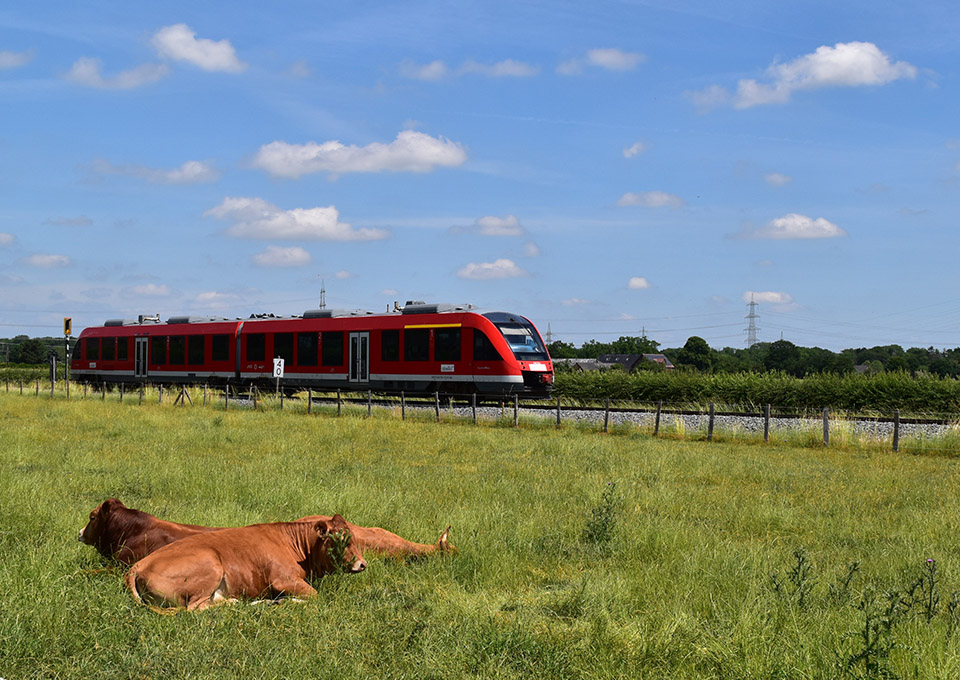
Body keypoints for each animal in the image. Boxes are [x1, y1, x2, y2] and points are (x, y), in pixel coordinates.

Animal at [125, 516, 366, 612]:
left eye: (354, 538)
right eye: (341, 540)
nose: (363, 564)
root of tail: (139, 564)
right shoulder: (283, 580)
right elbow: (315, 596)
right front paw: (285, 601)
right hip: (211, 564)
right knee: (195, 608)